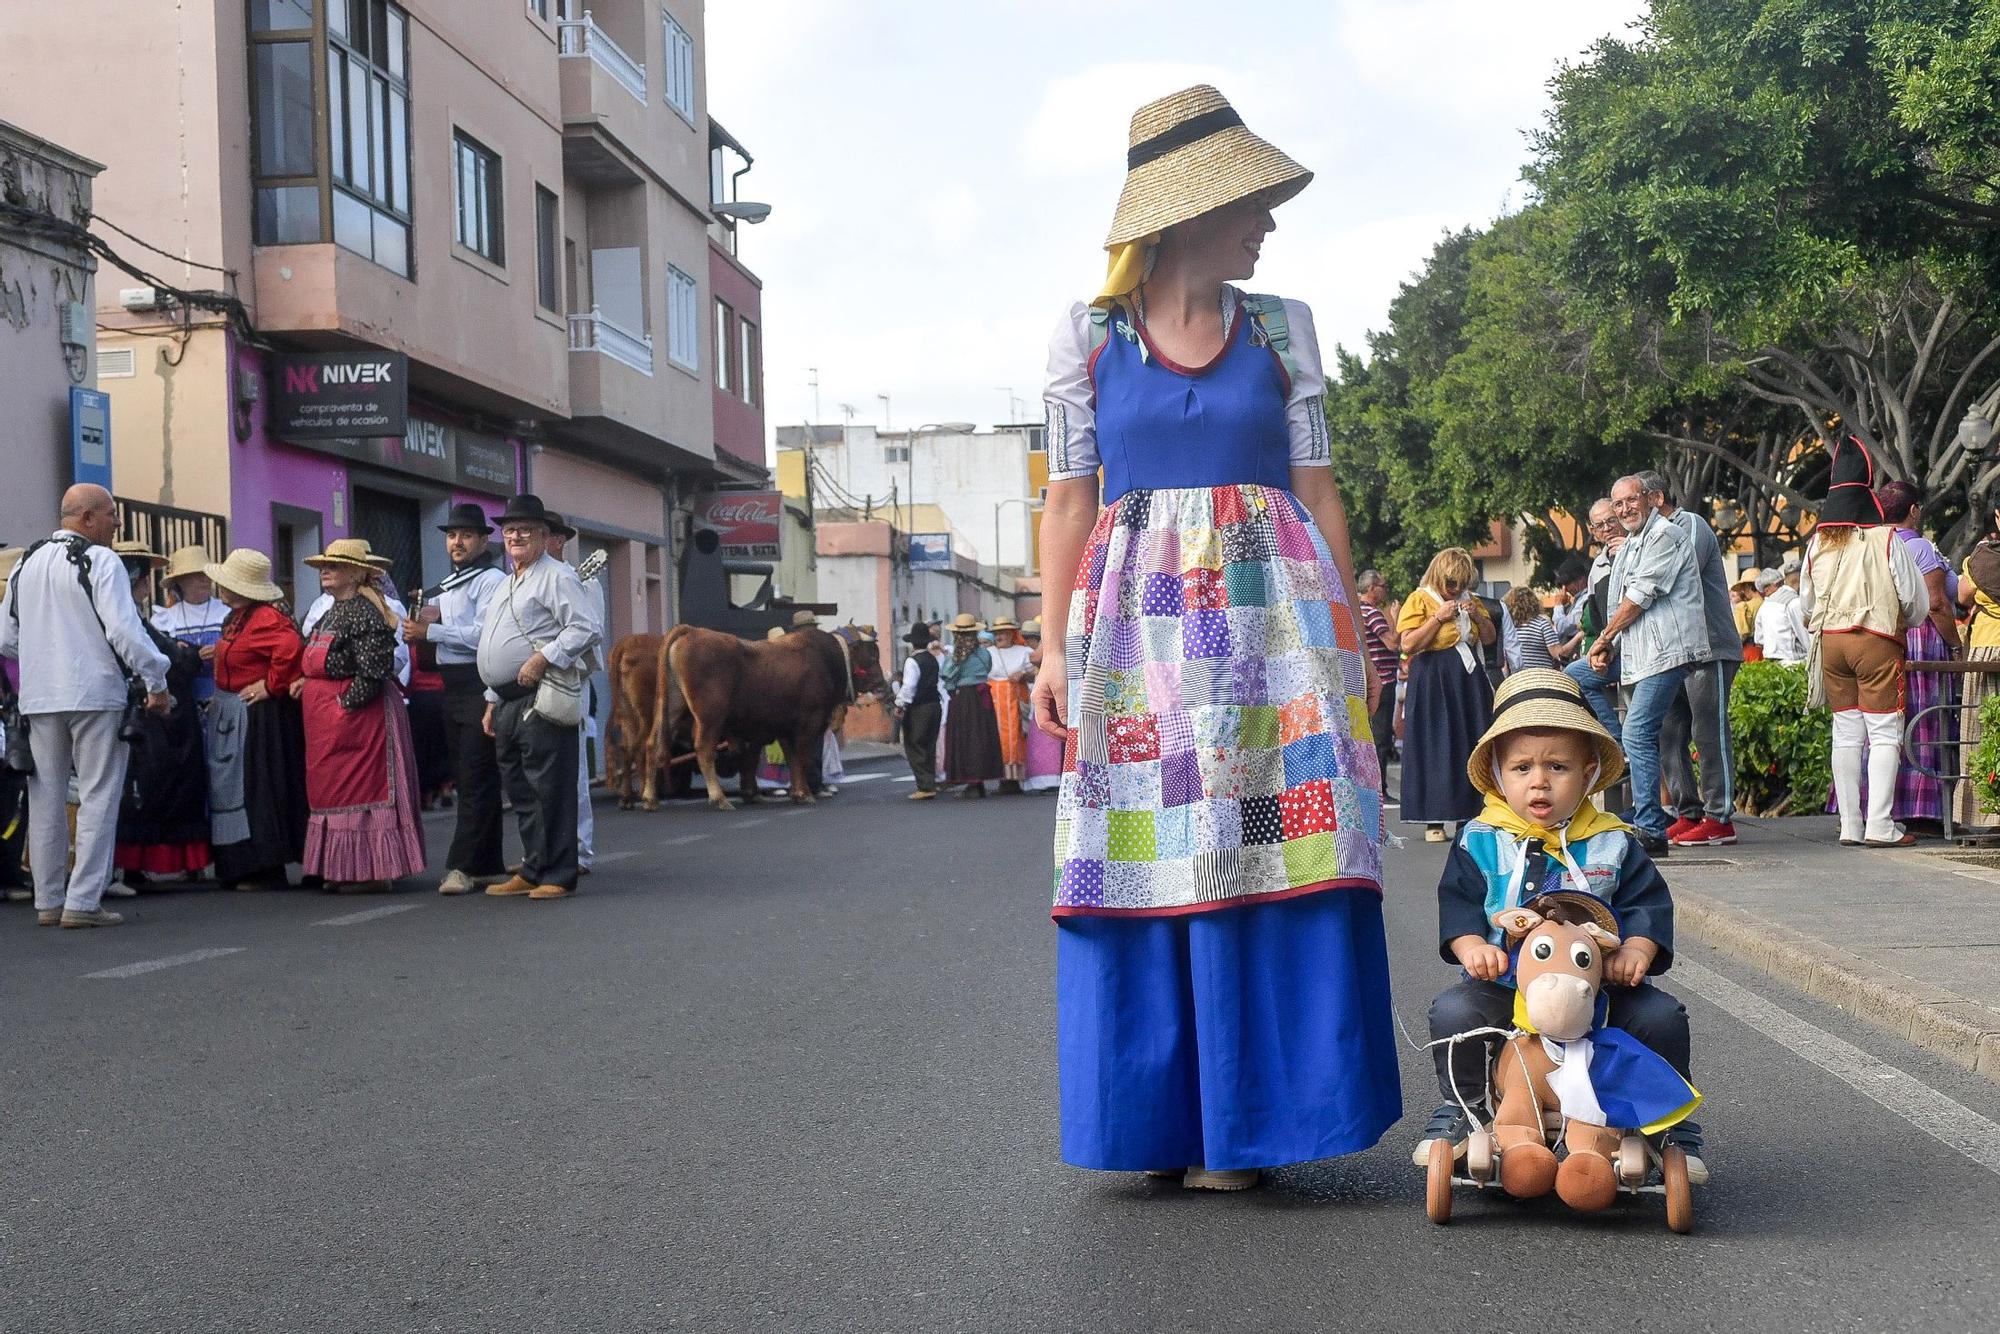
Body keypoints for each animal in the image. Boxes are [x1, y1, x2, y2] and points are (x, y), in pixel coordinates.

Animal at [648, 628, 852, 808]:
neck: (824, 659)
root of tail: (691, 631)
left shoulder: (783, 730)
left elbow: (790, 759)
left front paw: (796, 793)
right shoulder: (807, 726)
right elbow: (802, 759)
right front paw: (804, 793)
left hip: (671, 708)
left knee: (651, 745)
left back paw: (650, 798)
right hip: (710, 719)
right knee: (704, 750)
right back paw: (719, 799)